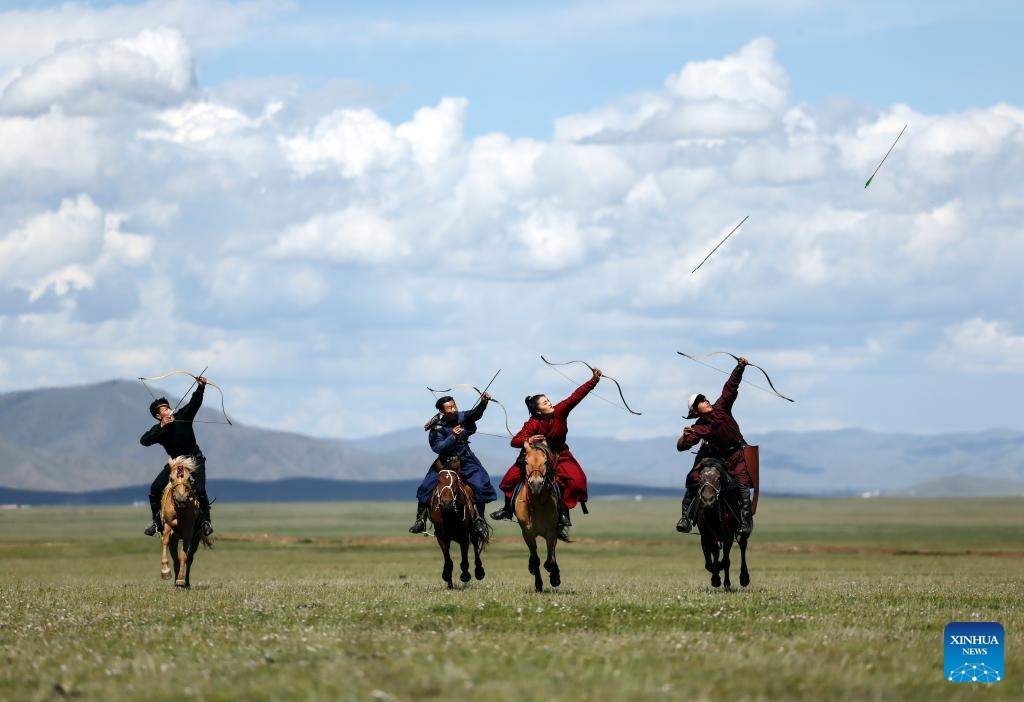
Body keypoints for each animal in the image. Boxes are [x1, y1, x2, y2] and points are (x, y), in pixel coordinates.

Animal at [159, 456, 211, 589]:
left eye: (189, 478)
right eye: (171, 478)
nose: (181, 499)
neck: (179, 510)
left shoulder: (188, 533)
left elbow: (183, 556)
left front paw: (181, 580)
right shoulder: (168, 527)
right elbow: (165, 541)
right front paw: (165, 572)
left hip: (196, 539)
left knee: (189, 558)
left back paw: (185, 583)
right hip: (175, 540)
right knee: (175, 559)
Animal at [423, 456, 487, 589]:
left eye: (456, 481)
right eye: (438, 480)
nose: (446, 503)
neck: (449, 515)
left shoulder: (464, 538)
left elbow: (464, 560)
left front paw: (465, 575)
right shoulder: (441, 537)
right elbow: (448, 561)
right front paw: (448, 581)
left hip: (473, 531)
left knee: (475, 547)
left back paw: (479, 571)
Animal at [512, 440, 561, 593]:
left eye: (545, 462)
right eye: (526, 461)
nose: (536, 484)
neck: (536, 503)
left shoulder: (551, 532)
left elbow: (549, 558)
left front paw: (554, 575)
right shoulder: (527, 533)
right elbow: (536, 559)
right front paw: (538, 584)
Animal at [692, 458, 749, 589]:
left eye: (718, 478)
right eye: (700, 478)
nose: (708, 499)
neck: (712, 515)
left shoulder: (728, 536)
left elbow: (726, 561)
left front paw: (720, 574)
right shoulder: (706, 536)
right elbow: (709, 563)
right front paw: (715, 578)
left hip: (740, 532)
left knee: (742, 545)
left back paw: (742, 578)